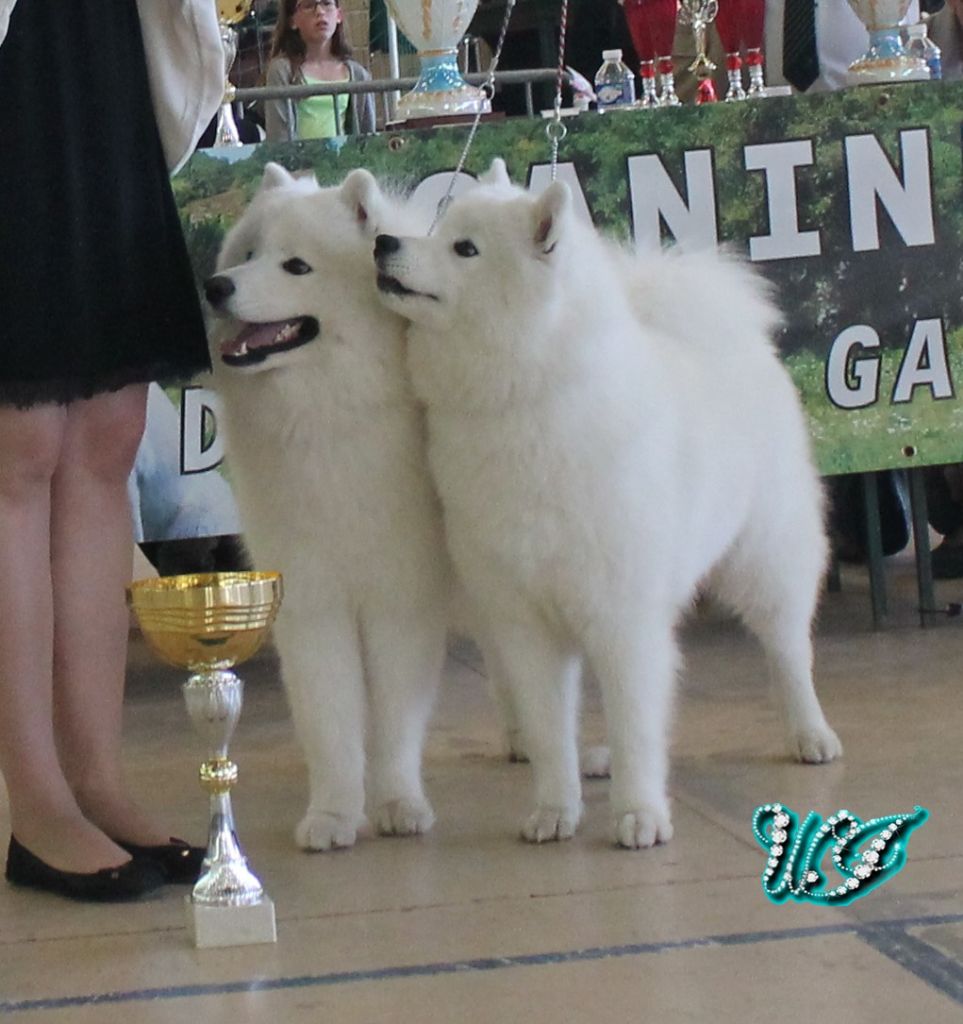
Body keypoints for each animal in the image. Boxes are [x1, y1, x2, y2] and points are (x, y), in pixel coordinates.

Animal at [203, 161, 450, 847]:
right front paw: (333, 815)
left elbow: (393, 720)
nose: (216, 287)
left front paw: (398, 804)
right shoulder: (310, 603)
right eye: (249, 254)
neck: (331, 416)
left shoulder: (401, 598)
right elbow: (330, 721)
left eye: (296, 266)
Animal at [372, 159, 840, 847]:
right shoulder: (524, 620)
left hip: (765, 558)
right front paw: (553, 810)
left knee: (788, 649)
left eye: (465, 249)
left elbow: (637, 723)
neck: (526, 401)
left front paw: (640, 814)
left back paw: (810, 734)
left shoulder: (625, 616)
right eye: (434, 228)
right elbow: (548, 729)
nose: (383, 243)